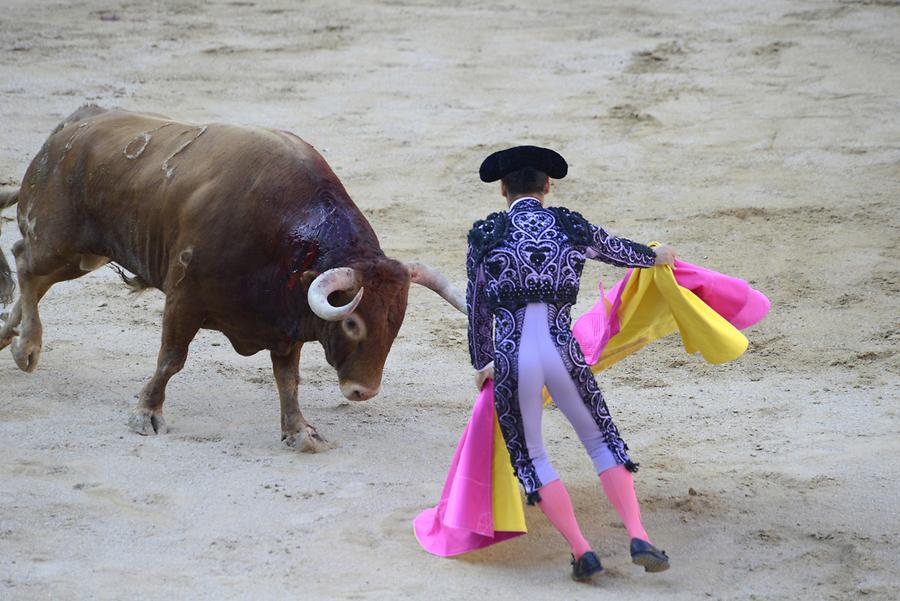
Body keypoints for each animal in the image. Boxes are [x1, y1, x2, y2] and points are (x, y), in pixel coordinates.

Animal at [0, 105, 464, 448]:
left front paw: (299, 432)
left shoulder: (286, 324)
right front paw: (147, 413)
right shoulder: (183, 300)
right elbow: (171, 360)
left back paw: (8, 337)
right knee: (25, 262)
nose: (362, 392)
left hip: (84, 256)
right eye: (350, 322)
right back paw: (26, 348)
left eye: (396, 322)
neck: (284, 235)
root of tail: (71, 125)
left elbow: (288, 379)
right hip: (60, 240)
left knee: (34, 276)